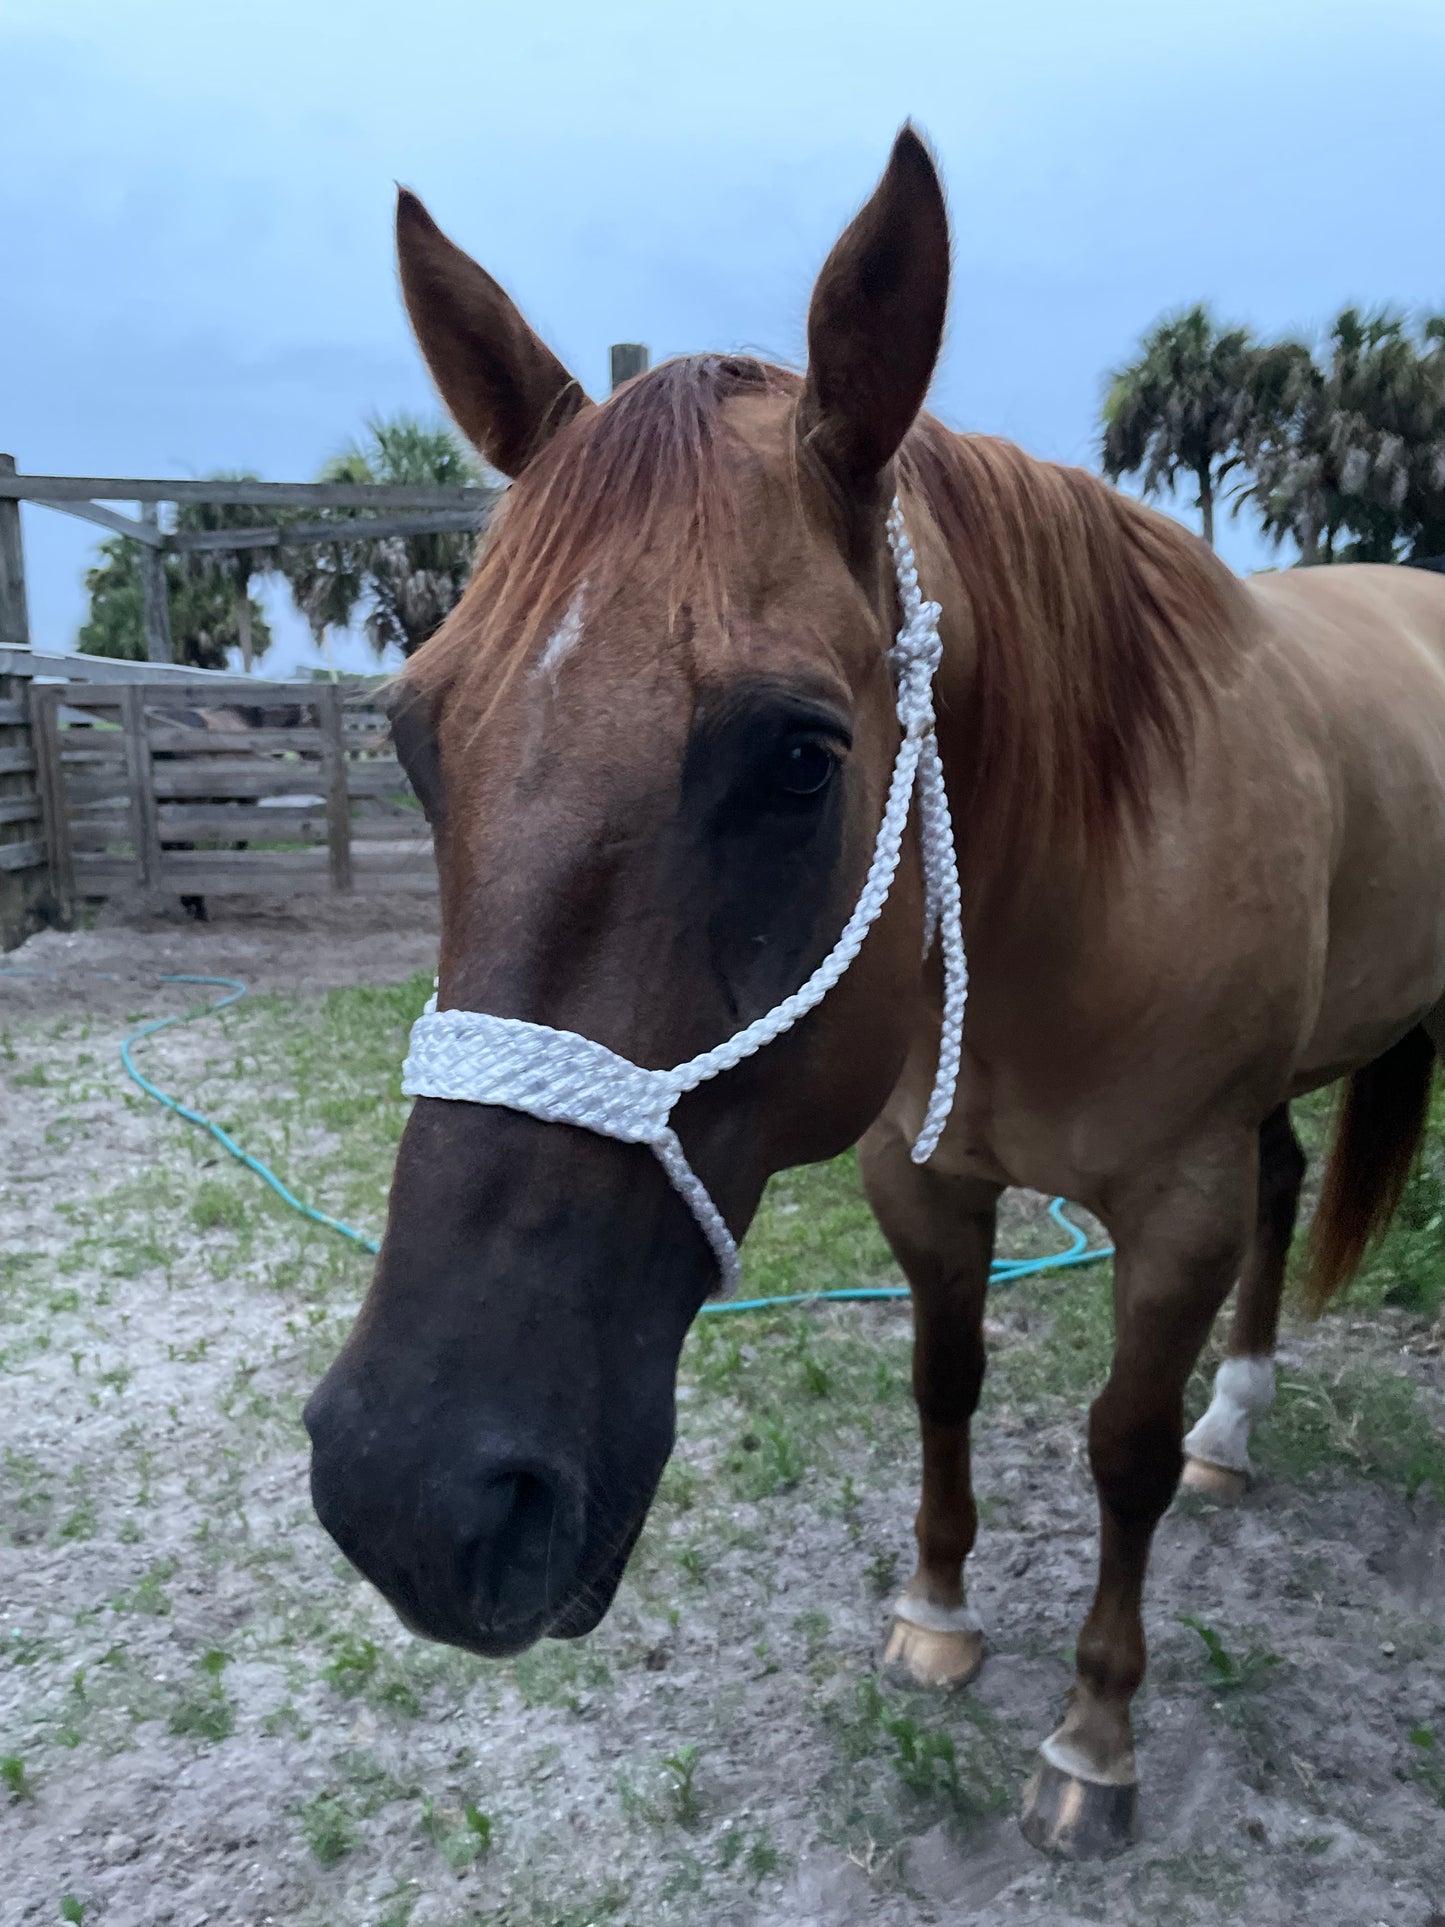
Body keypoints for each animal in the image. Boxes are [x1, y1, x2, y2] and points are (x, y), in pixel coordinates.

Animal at [302, 131, 1445, 1849]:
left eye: (797, 757)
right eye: (417, 738)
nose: (409, 1492)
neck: (1069, 881)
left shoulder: (1175, 1200)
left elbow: (1119, 1448)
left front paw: (1092, 1739)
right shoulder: (924, 1172)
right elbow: (943, 1380)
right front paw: (938, 1616)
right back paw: (1234, 1428)